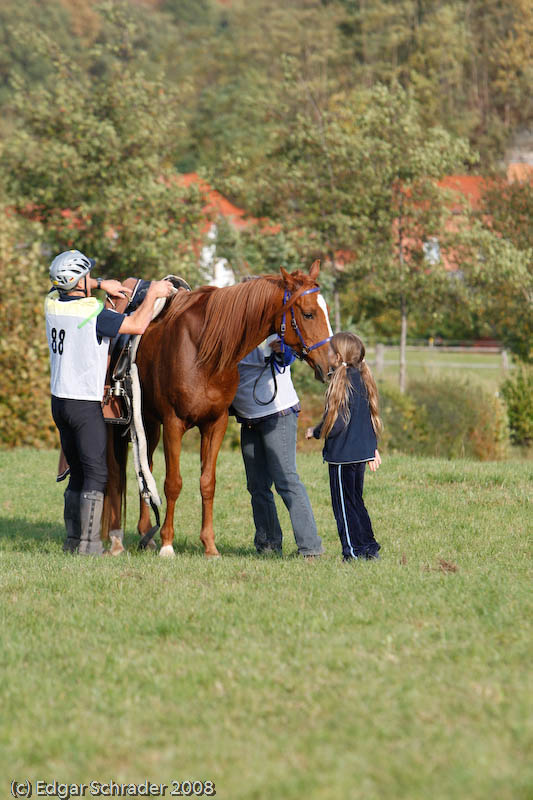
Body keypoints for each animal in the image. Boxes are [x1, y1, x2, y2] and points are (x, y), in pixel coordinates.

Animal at [104, 260, 332, 556]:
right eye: (308, 314)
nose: (331, 365)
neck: (202, 349)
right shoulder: (174, 424)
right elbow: (173, 484)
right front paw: (168, 545)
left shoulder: (215, 424)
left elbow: (207, 482)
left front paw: (209, 546)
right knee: (119, 476)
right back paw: (119, 540)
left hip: (148, 422)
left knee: (146, 468)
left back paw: (146, 533)